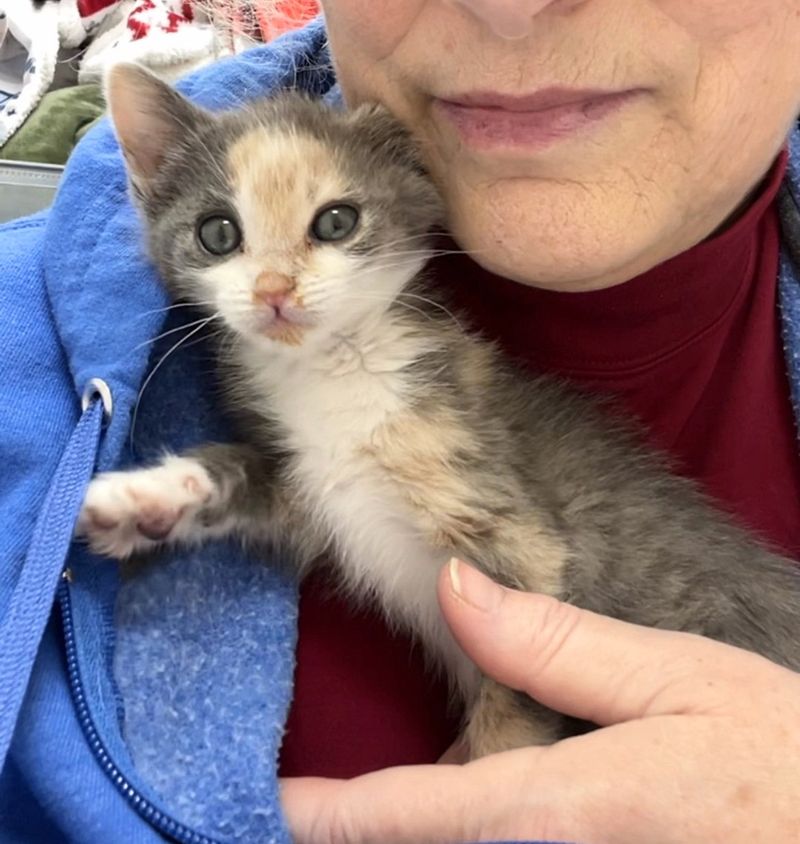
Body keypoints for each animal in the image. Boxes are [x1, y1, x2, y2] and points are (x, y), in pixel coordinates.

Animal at [78, 64, 800, 760]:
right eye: (218, 233)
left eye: (336, 221)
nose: (275, 291)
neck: (336, 375)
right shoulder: (319, 495)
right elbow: (248, 476)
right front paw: (147, 497)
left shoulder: (523, 544)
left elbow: (509, 723)